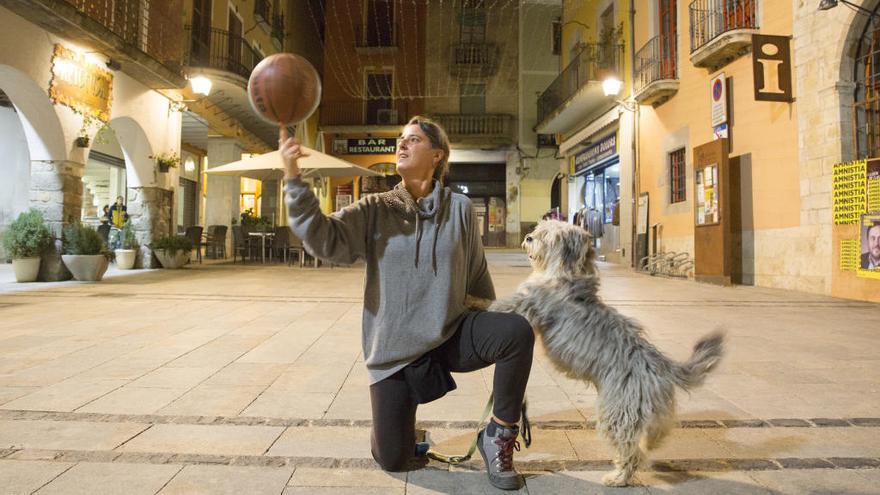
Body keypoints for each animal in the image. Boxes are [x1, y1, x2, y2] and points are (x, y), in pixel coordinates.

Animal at [482, 222, 720, 488]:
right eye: (540, 228)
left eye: (549, 235)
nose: (529, 237)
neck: (564, 272)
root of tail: (660, 364)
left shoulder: (527, 304)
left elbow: (501, 305)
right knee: (655, 434)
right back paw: (649, 447)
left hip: (617, 413)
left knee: (631, 453)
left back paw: (618, 477)